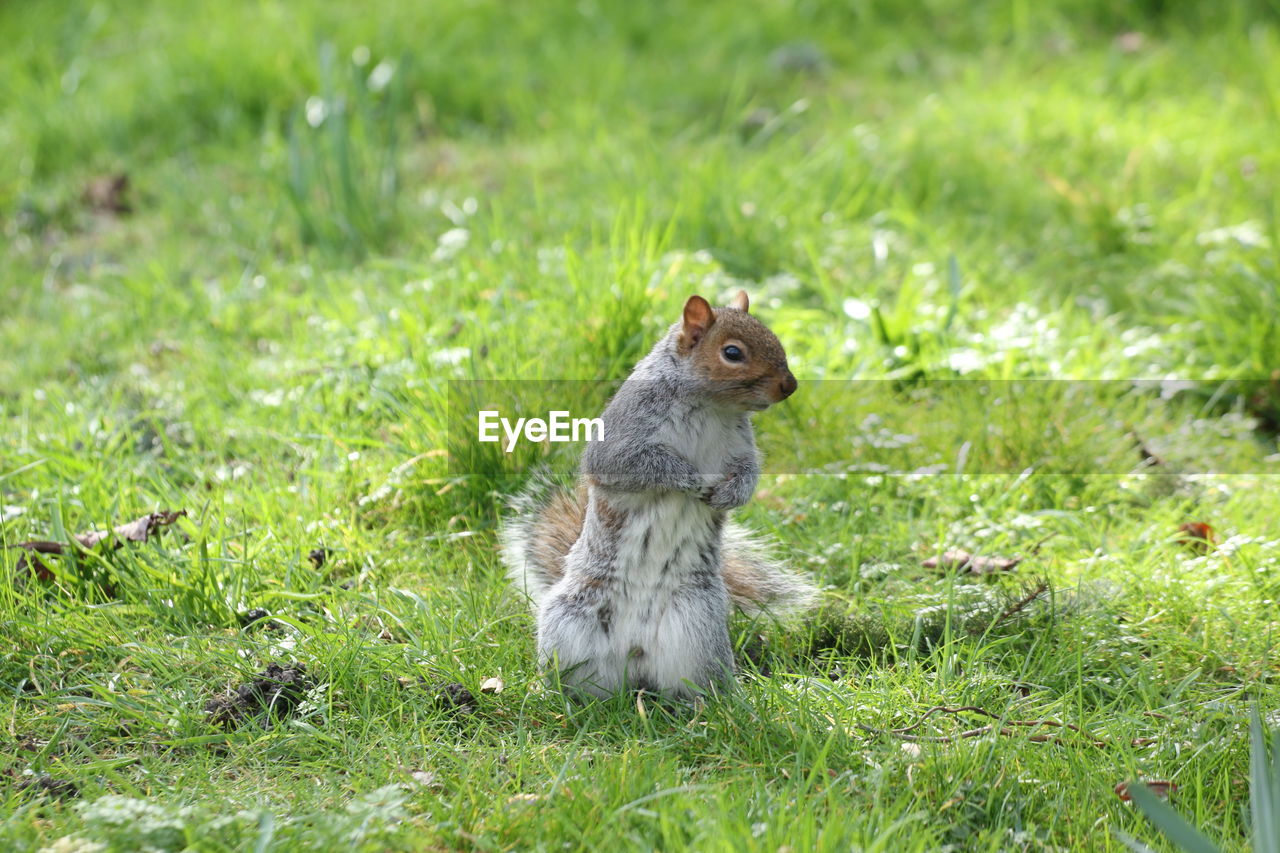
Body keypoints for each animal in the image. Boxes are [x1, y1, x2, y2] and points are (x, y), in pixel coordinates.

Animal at [501, 289, 814, 696]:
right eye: (732, 353)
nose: (789, 386)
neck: (711, 406)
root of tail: (633, 660)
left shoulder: (743, 449)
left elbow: (749, 475)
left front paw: (730, 494)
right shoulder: (623, 435)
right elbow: (632, 463)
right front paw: (691, 478)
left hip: (698, 627)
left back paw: (714, 701)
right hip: (567, 622)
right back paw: (551, 695)